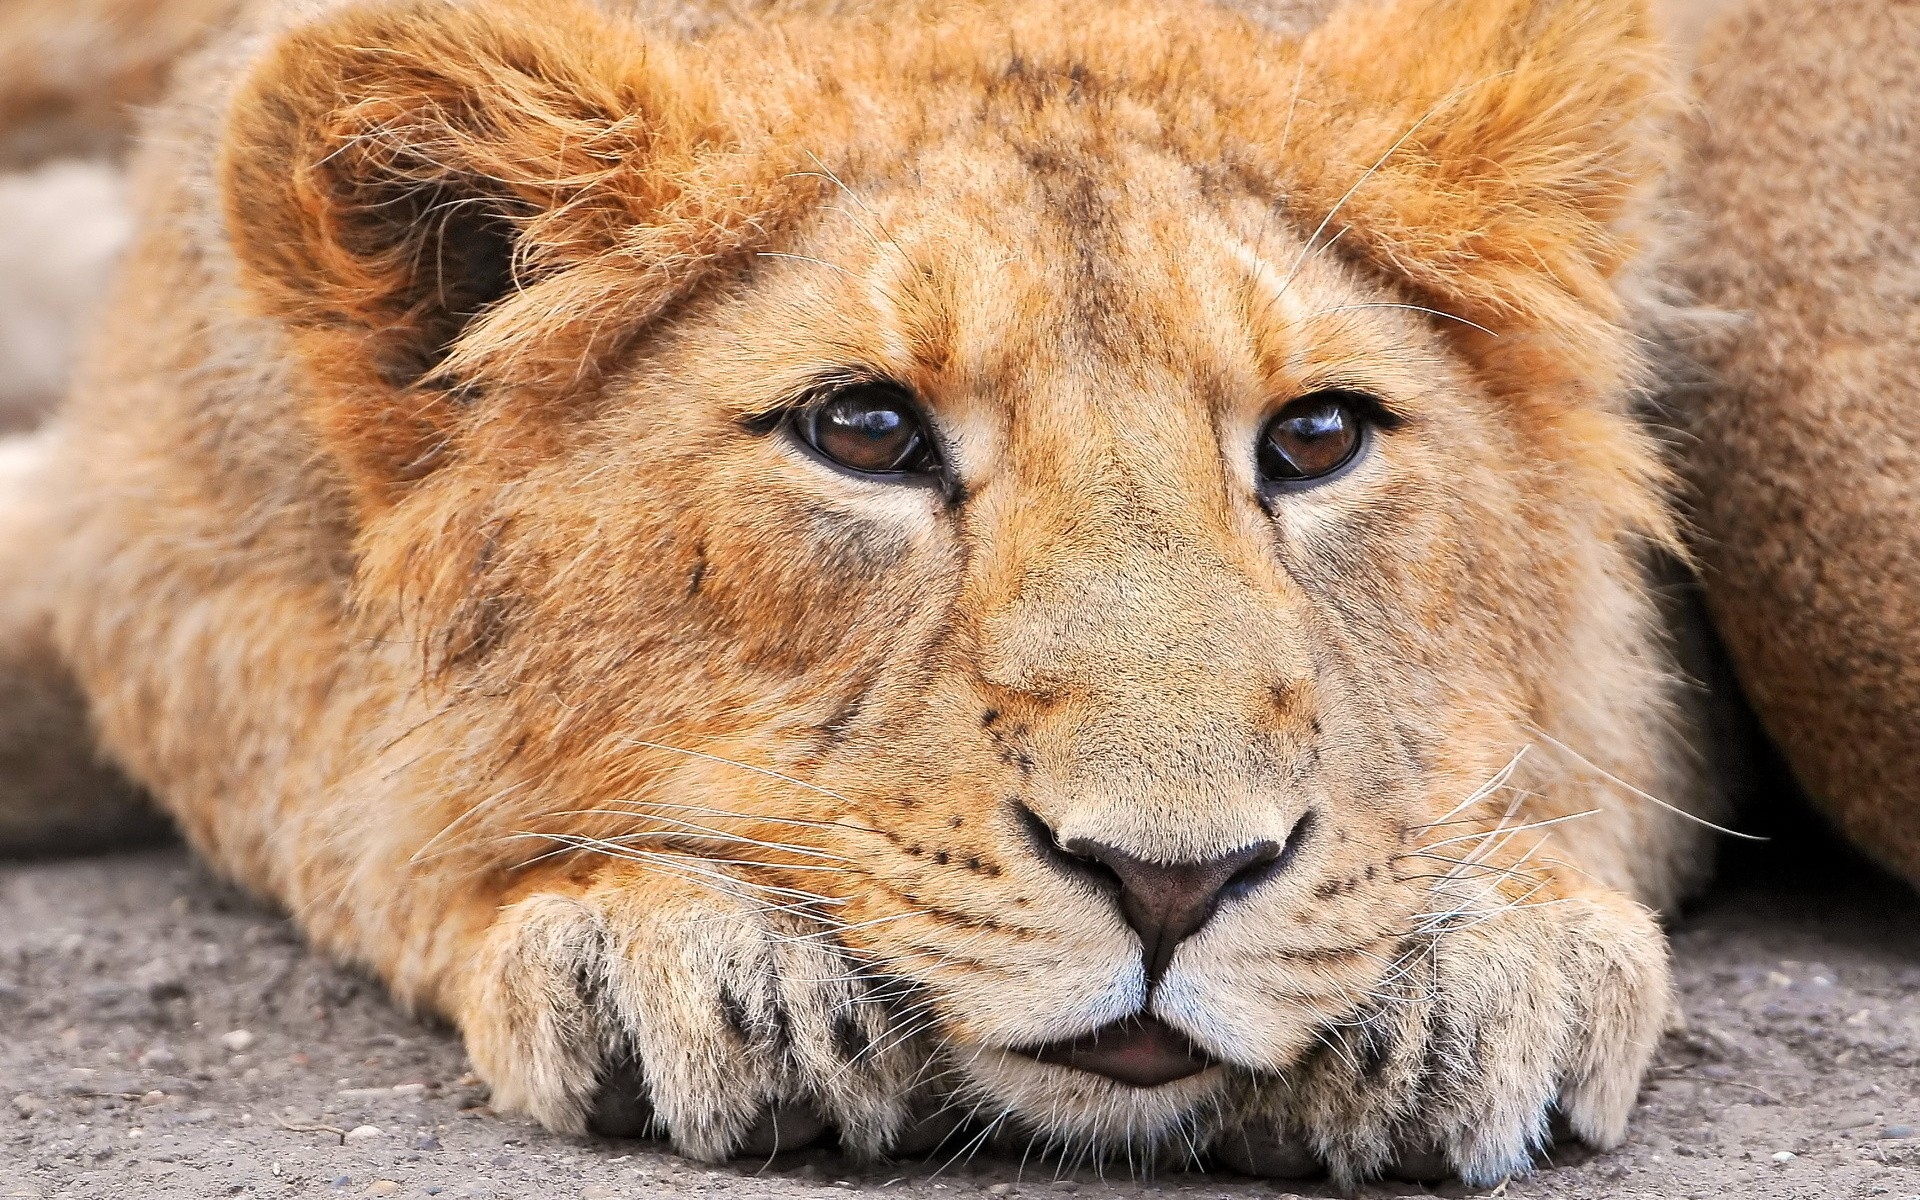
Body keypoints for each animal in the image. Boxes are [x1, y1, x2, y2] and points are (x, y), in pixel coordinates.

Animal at [8, 0, 1898, 1186]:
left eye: (1316, 438)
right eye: (864, 429)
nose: (1168, 884)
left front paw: (1479, 963)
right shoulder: (156, 541)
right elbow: (342, 782)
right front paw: (675, 948)